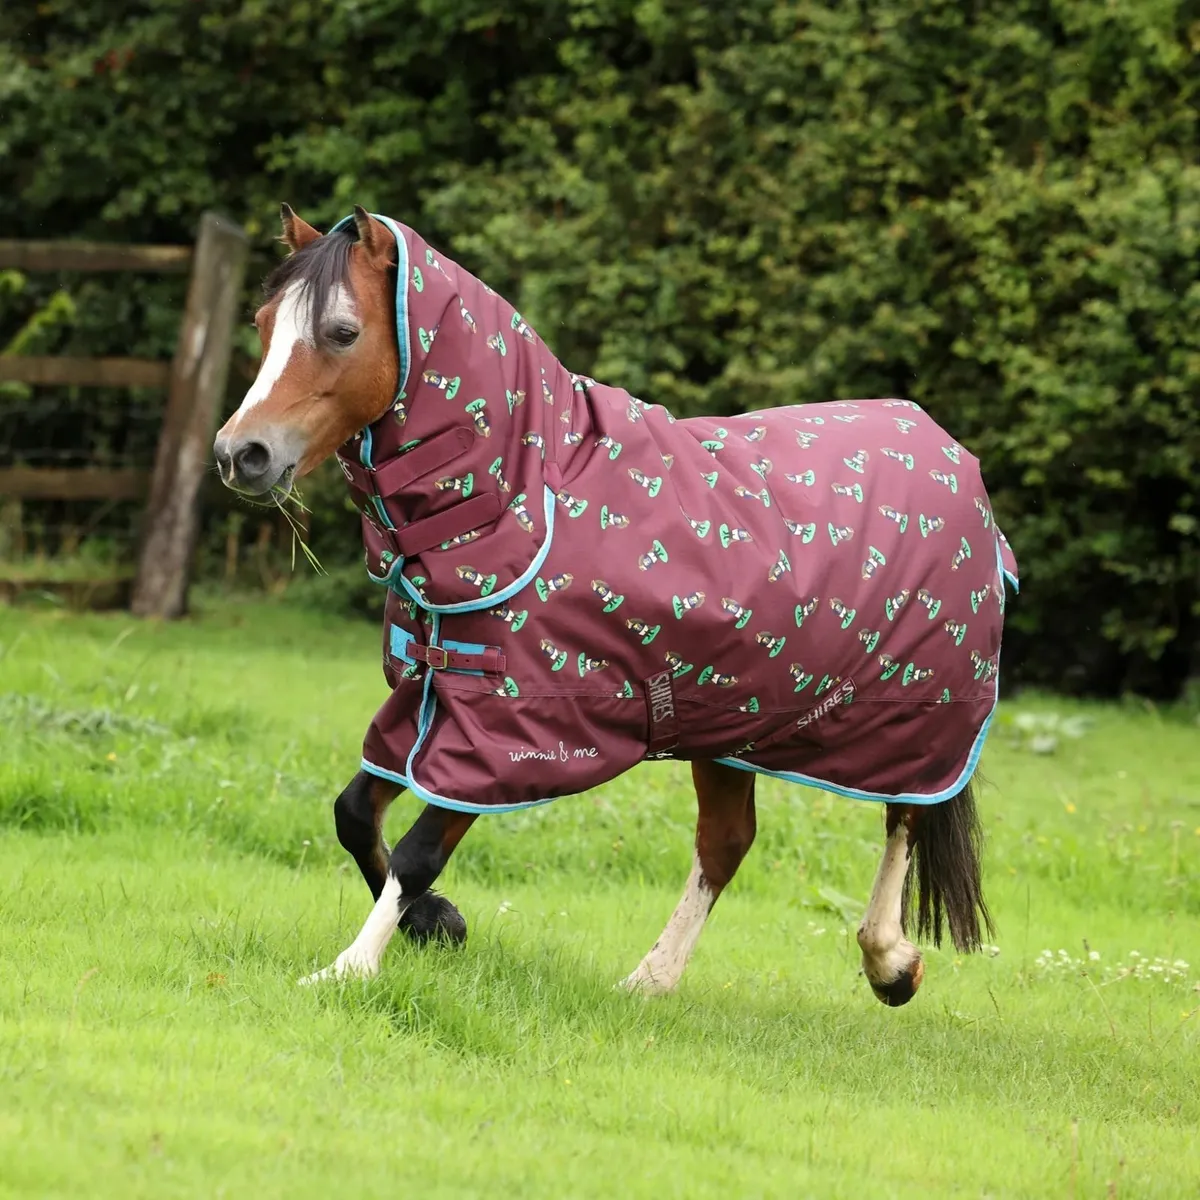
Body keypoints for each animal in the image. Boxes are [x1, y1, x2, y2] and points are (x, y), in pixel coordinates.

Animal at [213, 204, 1018, 1005]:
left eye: (342, 331)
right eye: (261, 323)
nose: (239, 454)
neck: (527, 497)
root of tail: (959, 464)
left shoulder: (515, 730)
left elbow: (417, 852)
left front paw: (349, 966)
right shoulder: (430, 697)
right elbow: (354, 814)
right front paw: (437, 923)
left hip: (914, 719)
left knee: (905, 817)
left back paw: (890, 964)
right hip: (729, 721)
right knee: (727, 842)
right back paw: (649, 981)